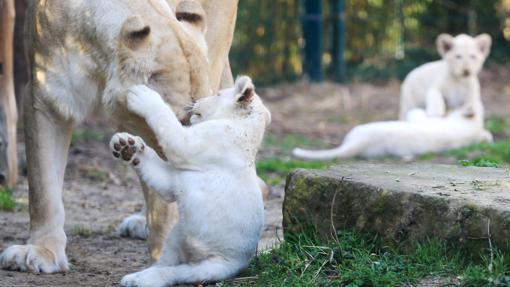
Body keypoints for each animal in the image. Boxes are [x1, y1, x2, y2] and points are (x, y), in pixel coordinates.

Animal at [0, 0, 238, 274]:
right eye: (181, 121)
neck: (96, 55)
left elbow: (165, 205)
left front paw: (167, 256)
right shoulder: (46, 95)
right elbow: (42, 188)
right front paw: (41, 251)